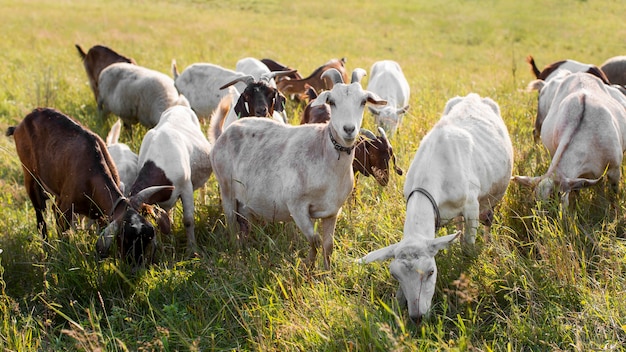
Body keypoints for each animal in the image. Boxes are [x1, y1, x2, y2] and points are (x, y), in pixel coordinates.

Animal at [6, 108, 171, 268]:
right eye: (124, 238)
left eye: (147, 238)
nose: (136, 268)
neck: (92, 174)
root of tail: (21, 124)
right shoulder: (64, 209)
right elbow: (63, 237)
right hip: (30, 177)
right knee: (40, 217)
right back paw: (46, 248)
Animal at [129, 104, 212, 256]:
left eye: (142, 231)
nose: (130, 258)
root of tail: (178, 106)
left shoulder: (186, 188)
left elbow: (188, 220)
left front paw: (192, 250)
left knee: (203, 188)